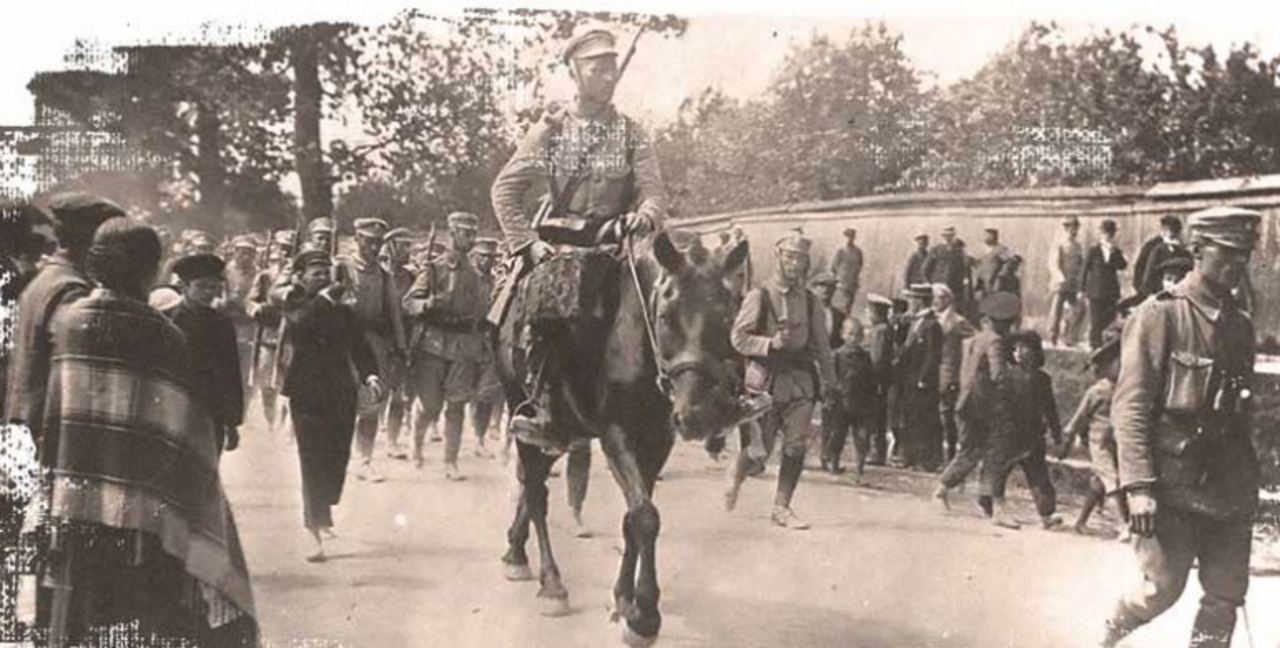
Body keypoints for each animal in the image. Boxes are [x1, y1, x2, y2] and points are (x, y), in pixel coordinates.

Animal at [495, 229, 749, 646]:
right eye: (665, 316)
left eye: (727, 316)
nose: (698, 415)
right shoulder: (617, 437)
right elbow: (645, 516)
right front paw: (644, 614)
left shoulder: (657, 441)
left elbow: (633, 517)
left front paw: (624, 599)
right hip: (521, 403)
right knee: (535, 489)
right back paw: (552, 584)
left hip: (565, 430)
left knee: (534, 479)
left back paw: (515, 549)